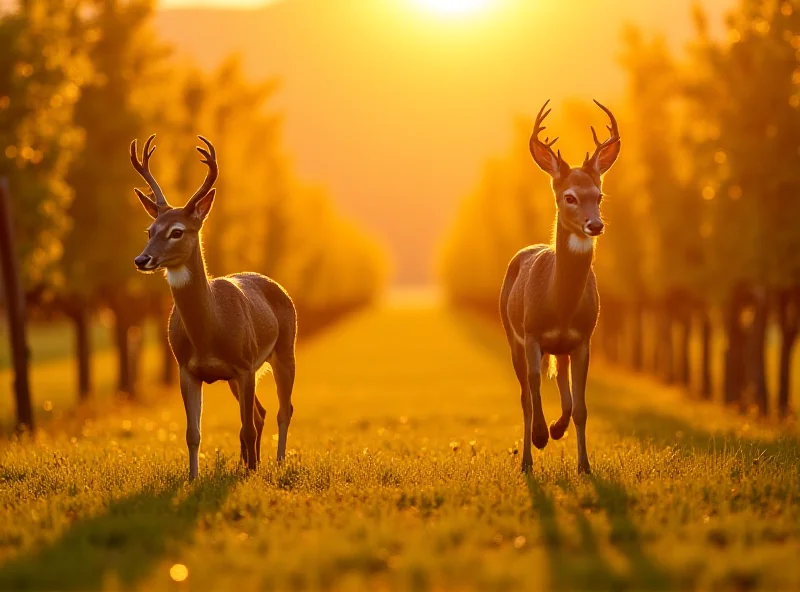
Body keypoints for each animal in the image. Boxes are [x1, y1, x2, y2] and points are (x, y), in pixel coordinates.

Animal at [130, 135, 296, 480]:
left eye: (177, 231)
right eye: (149, 231)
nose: (142, 259)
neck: (210, 329)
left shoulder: (245, 364)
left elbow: (246, 427)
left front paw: (251, 473)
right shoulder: (186, 368)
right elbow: (193, 433)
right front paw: (193, 477)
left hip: (285, 349)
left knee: (282, 410)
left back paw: (275, 462)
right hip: (239, 376)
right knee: (260, 412)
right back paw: (250, 462)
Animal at [500, 99, 620, 474]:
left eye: (599, 195)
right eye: (569, 197)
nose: (595, 225)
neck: (560, 305)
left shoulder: (583, 339)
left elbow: (580, 407)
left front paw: (583, 464)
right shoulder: (531, 333)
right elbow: (533, 391)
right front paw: (540, 436)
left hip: (562, 350)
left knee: (564, 388)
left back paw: (556, 429)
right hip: (512, 334)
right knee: (525, 396)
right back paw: (528, 457)